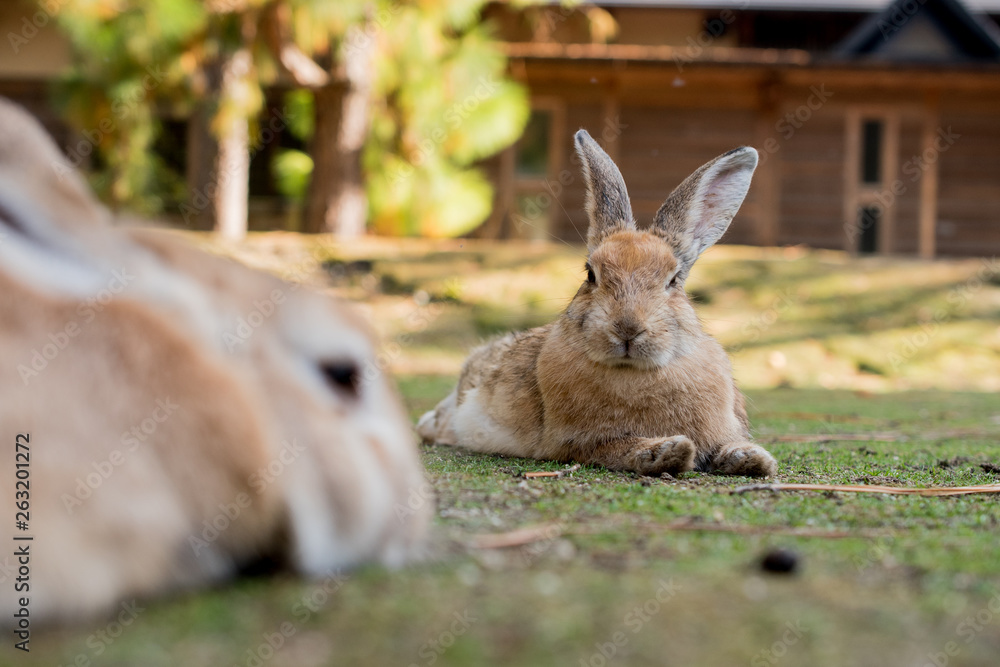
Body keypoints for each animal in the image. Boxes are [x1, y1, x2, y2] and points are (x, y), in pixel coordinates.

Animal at [418, 129, 777, 479]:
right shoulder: (577, 442)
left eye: (674, 280)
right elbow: (617, 448)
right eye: (591, 274)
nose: (627, 328)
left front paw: (752, 458)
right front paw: (667, 451)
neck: (634, 371)